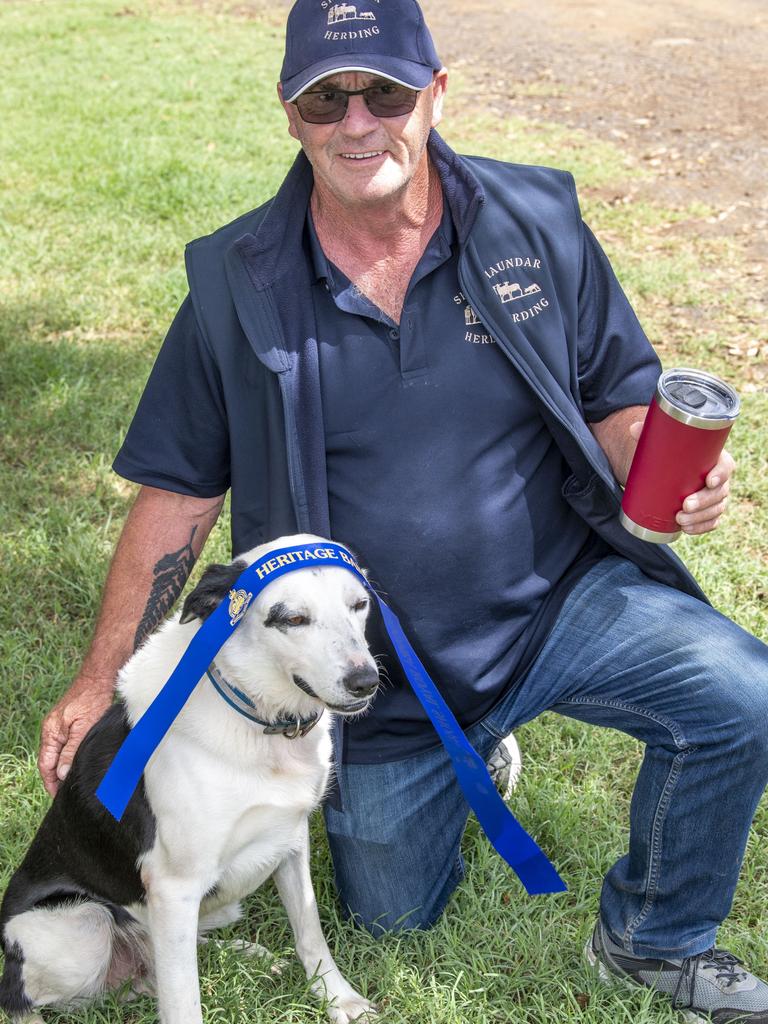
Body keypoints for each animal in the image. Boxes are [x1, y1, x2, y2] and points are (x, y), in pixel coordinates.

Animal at [0, 536, 382, 1024]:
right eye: (293, 619)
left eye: (359, 605)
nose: (365, 682)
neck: (259, 722)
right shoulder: (173, 887)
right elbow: (184, 1001)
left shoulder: (290, 841)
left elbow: (310, 931)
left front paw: (339, 999)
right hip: (82, 927)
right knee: (16, 996)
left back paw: (245, 955)